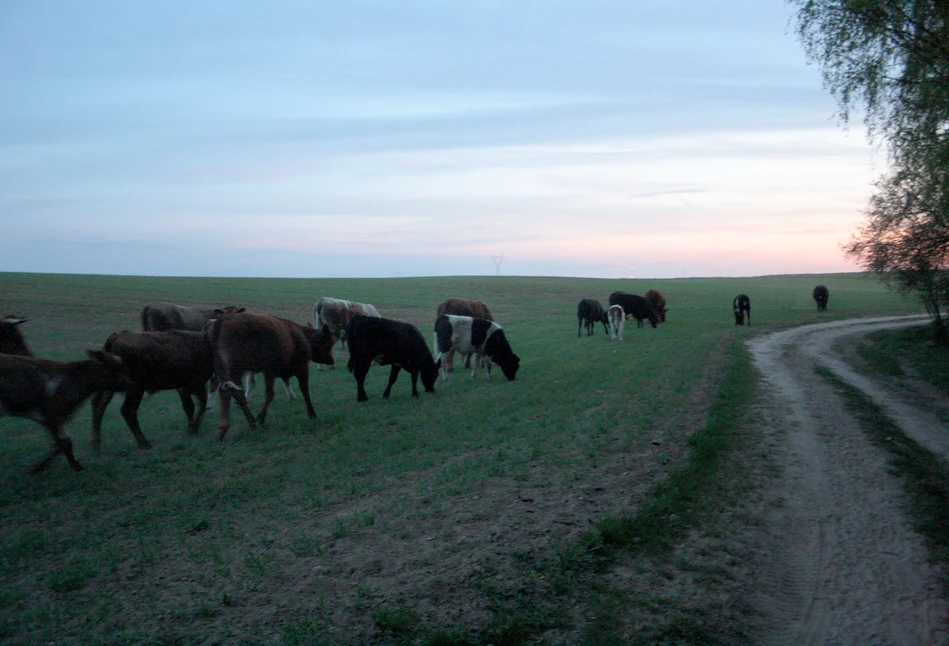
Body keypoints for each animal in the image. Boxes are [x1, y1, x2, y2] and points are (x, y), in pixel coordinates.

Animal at [0, 352, 130, 474]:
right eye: (115, 369)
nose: (131, 383)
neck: (72, 380)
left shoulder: (56, 418)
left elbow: (65, 442)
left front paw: (76, 466)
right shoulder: (50, 416)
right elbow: (62, 443)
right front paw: (36, 468)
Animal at [209, 312, 336, 440]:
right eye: (328, 342)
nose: (331, 360)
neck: (302, 336)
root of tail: (225, 319)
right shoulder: (298, 368)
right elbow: (300, 391)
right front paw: (312, 414)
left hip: (227, 371)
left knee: (230, 392)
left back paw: (232, 427)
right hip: (235, 370)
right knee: (233, 393)